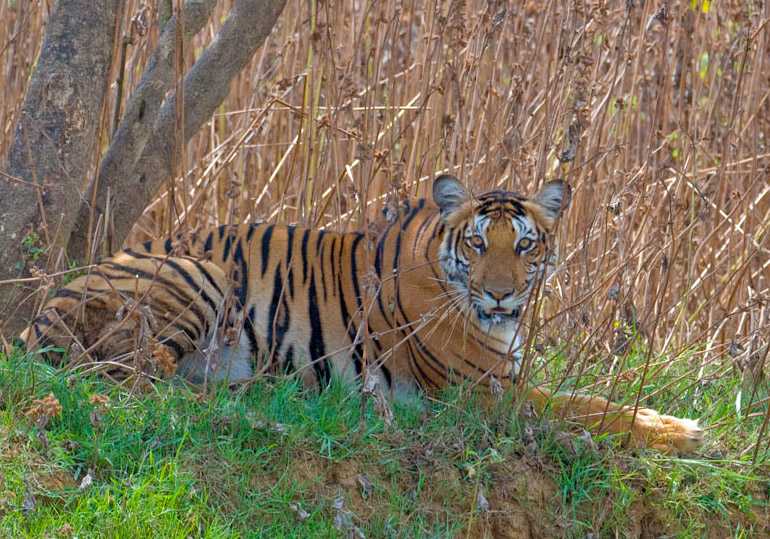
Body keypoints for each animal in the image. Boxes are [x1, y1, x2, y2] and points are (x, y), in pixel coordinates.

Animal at [21, 177, 704, 456]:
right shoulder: (481, 393)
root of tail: (41, 312)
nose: (502, 296)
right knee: (132, 376)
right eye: (479, 244)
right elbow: (583, 408)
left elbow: (589, 399)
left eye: (525, 246)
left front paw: (675, 424)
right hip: (199, 276)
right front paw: (687, 434)